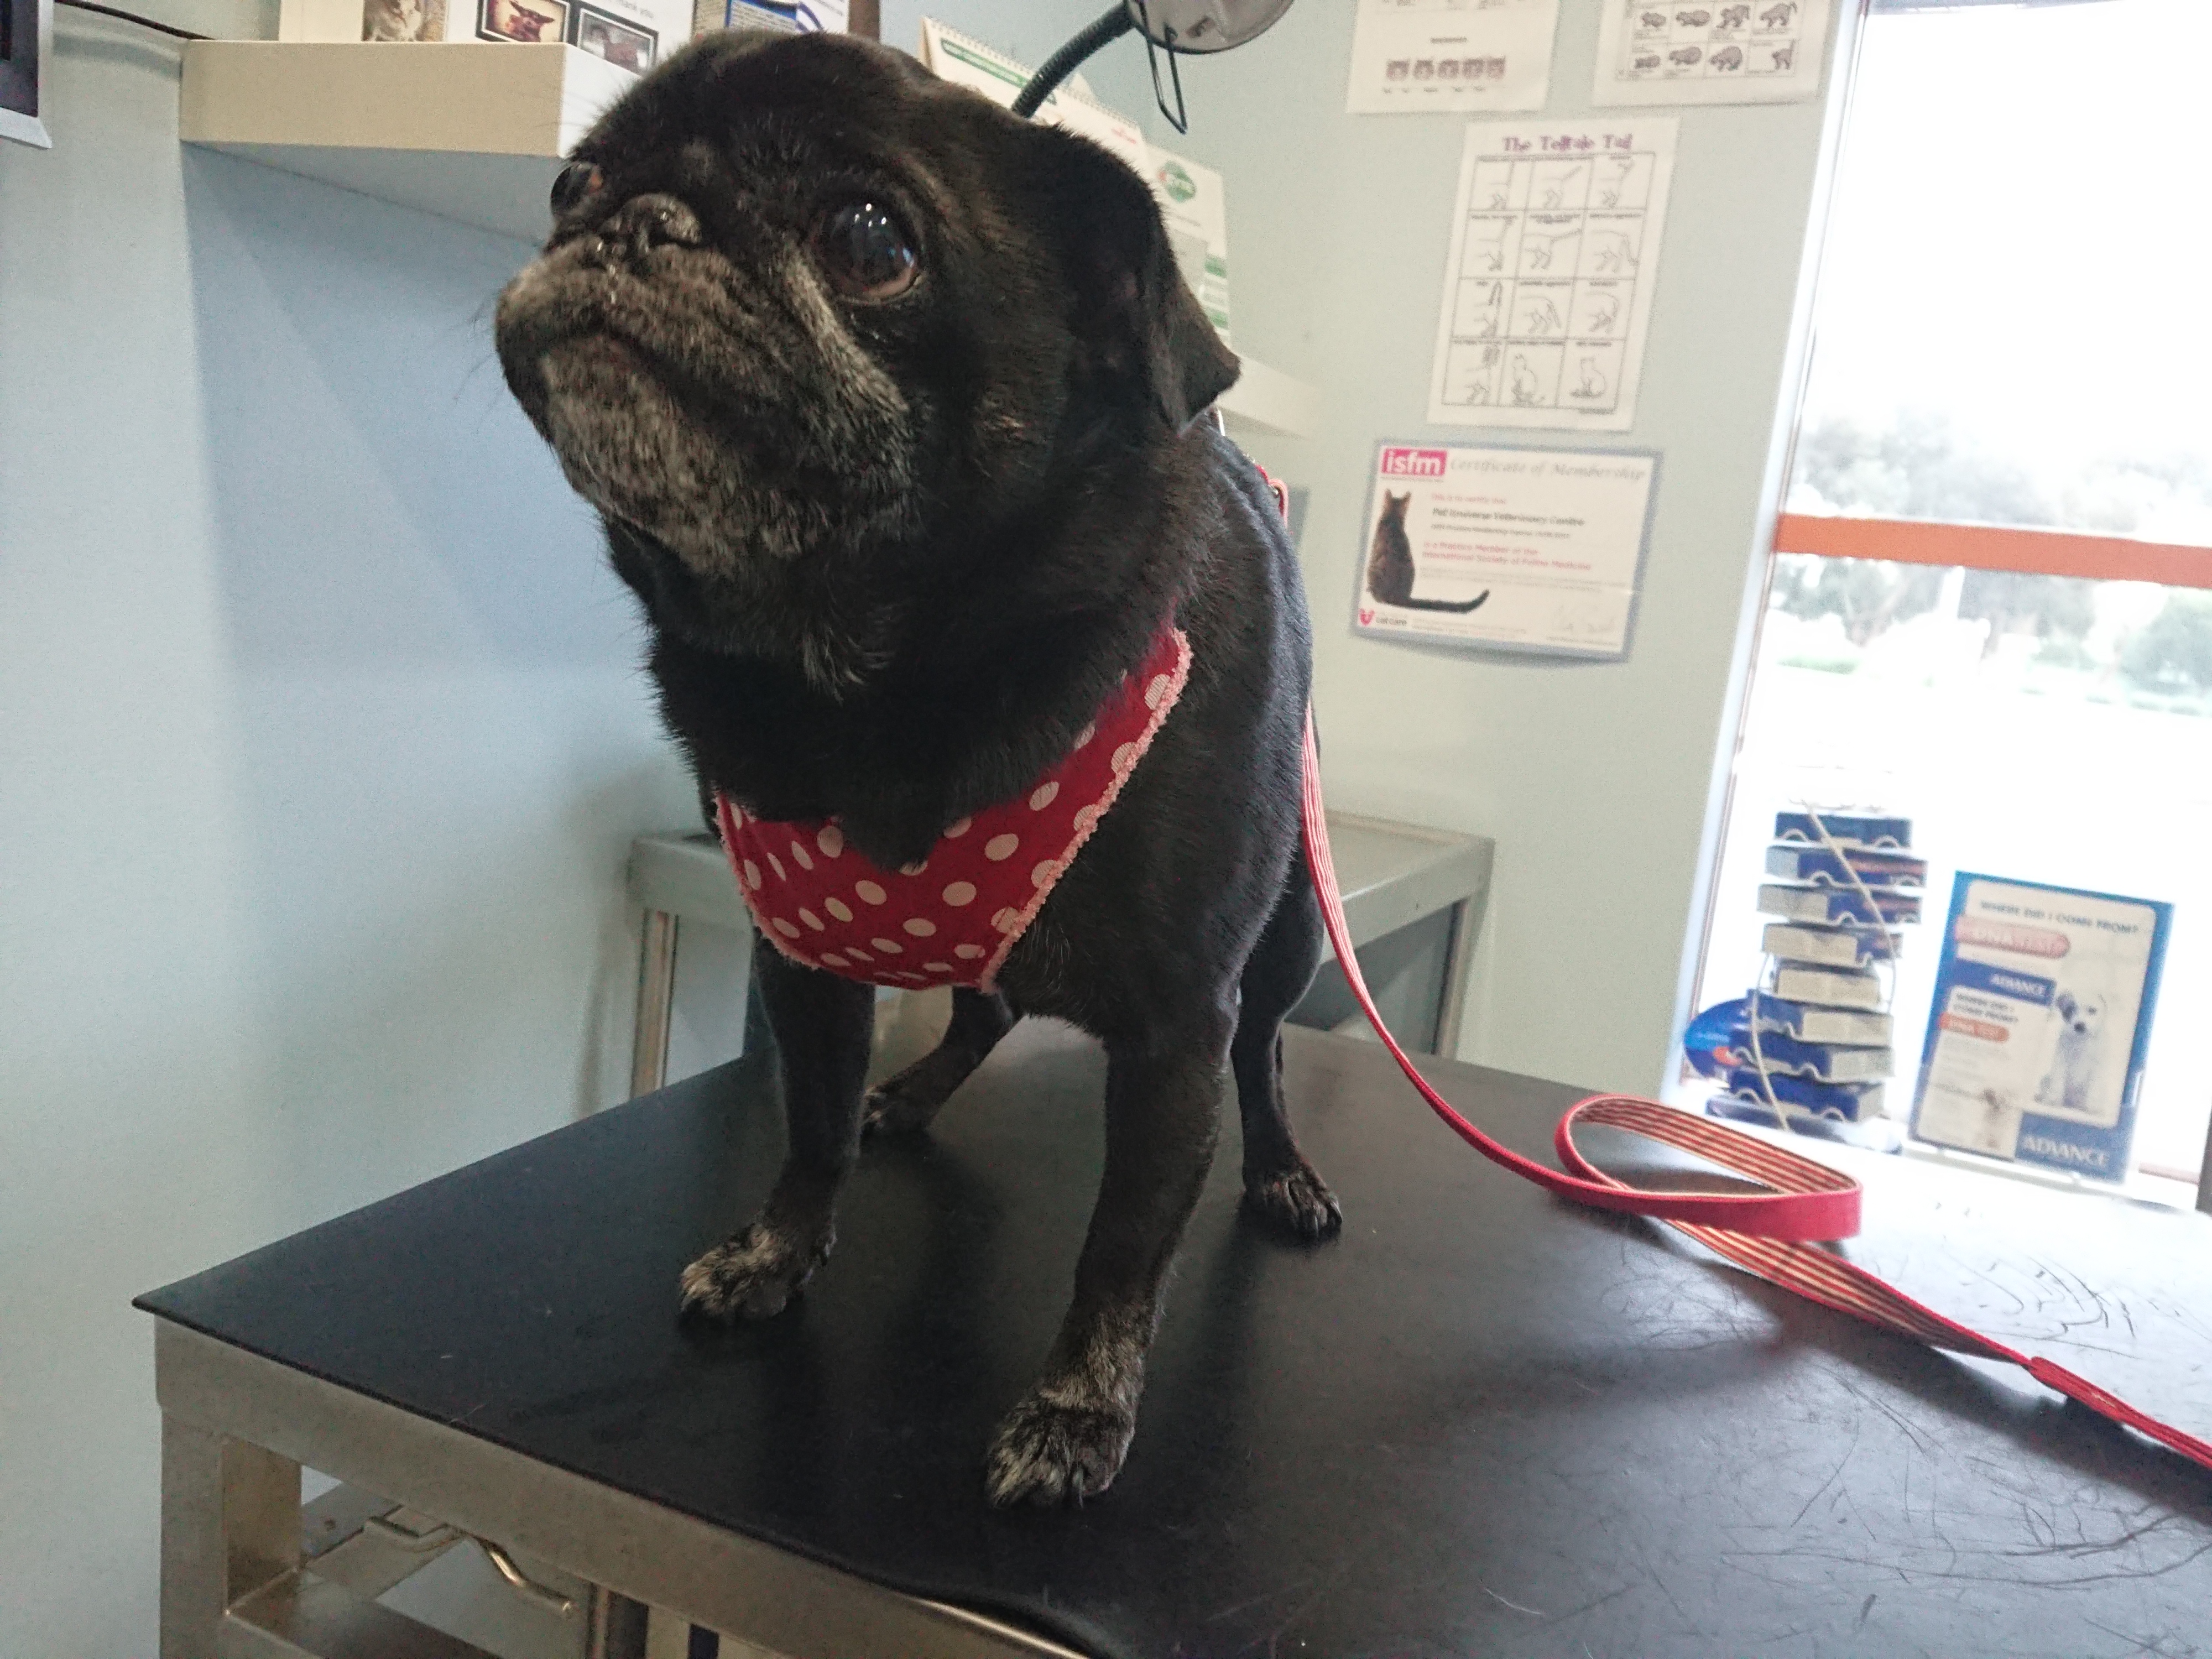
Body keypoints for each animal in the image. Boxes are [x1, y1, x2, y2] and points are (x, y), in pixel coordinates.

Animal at [493, 31, 1340, 1506]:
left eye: (869, 240)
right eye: (570, 183)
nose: (640, 218)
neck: (862, 670)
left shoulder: (1177, 1029)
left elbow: (1122, 1246)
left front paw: (1076, 1406)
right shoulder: (803, 966)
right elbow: (811, 1125)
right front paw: (777, 1252)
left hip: (1287, 933)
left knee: (1270, 1055)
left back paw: (1282, 1172)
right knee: (982, 1011)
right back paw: (916, 1091)